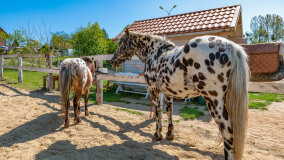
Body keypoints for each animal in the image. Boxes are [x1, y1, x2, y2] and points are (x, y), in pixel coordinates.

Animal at [111, 28, 248, 159]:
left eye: (121, 43)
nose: (113, 61)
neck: (154, 53)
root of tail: (230, 46)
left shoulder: (154, 90)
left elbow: (157, 112)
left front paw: (158, 134)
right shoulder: (168, 92)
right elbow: (169, 111)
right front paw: (169, 134)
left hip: (214, 101)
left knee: (227, 133)